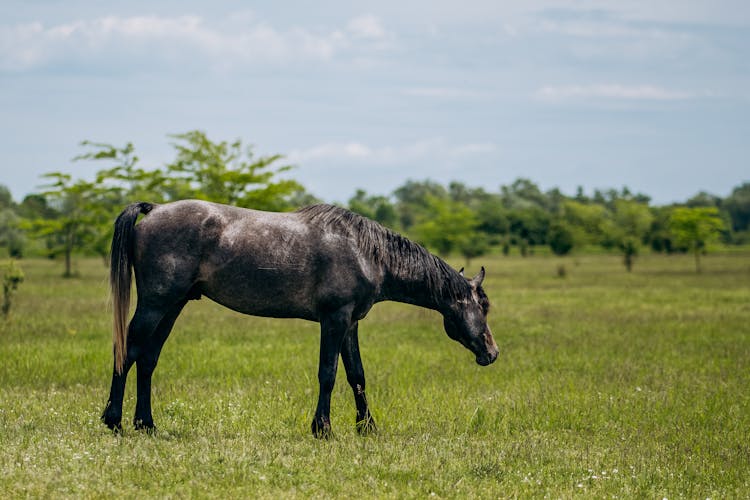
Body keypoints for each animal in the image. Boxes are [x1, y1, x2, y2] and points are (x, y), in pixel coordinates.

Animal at [101, 199, 500, 438]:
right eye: (483, 306)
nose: (492, 353)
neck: (365, 253)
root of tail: (153, 210)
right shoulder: (334, 319)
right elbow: (328, 374)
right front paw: (322, 428)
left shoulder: (351, 323)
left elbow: (357, 375)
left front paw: (367, 428)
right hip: (155, 304)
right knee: (128, 352)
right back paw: (114, 421)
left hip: (174, 305)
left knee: (149, 359)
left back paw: (146, 424)